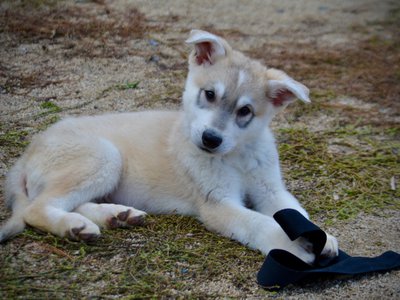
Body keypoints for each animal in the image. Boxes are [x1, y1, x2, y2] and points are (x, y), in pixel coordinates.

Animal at [0, 29, 338, 262]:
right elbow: (259, 223)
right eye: (209, 94)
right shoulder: (217, 203)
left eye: (245, 111)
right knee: (36, 208)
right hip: (104, 157)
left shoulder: (271, 190)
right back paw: (74, 225)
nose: (210, 139)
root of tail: (26, 154)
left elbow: (296, 212)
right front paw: (291, 244)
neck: (236, 155)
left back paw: (112, 216)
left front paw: (323, 237)